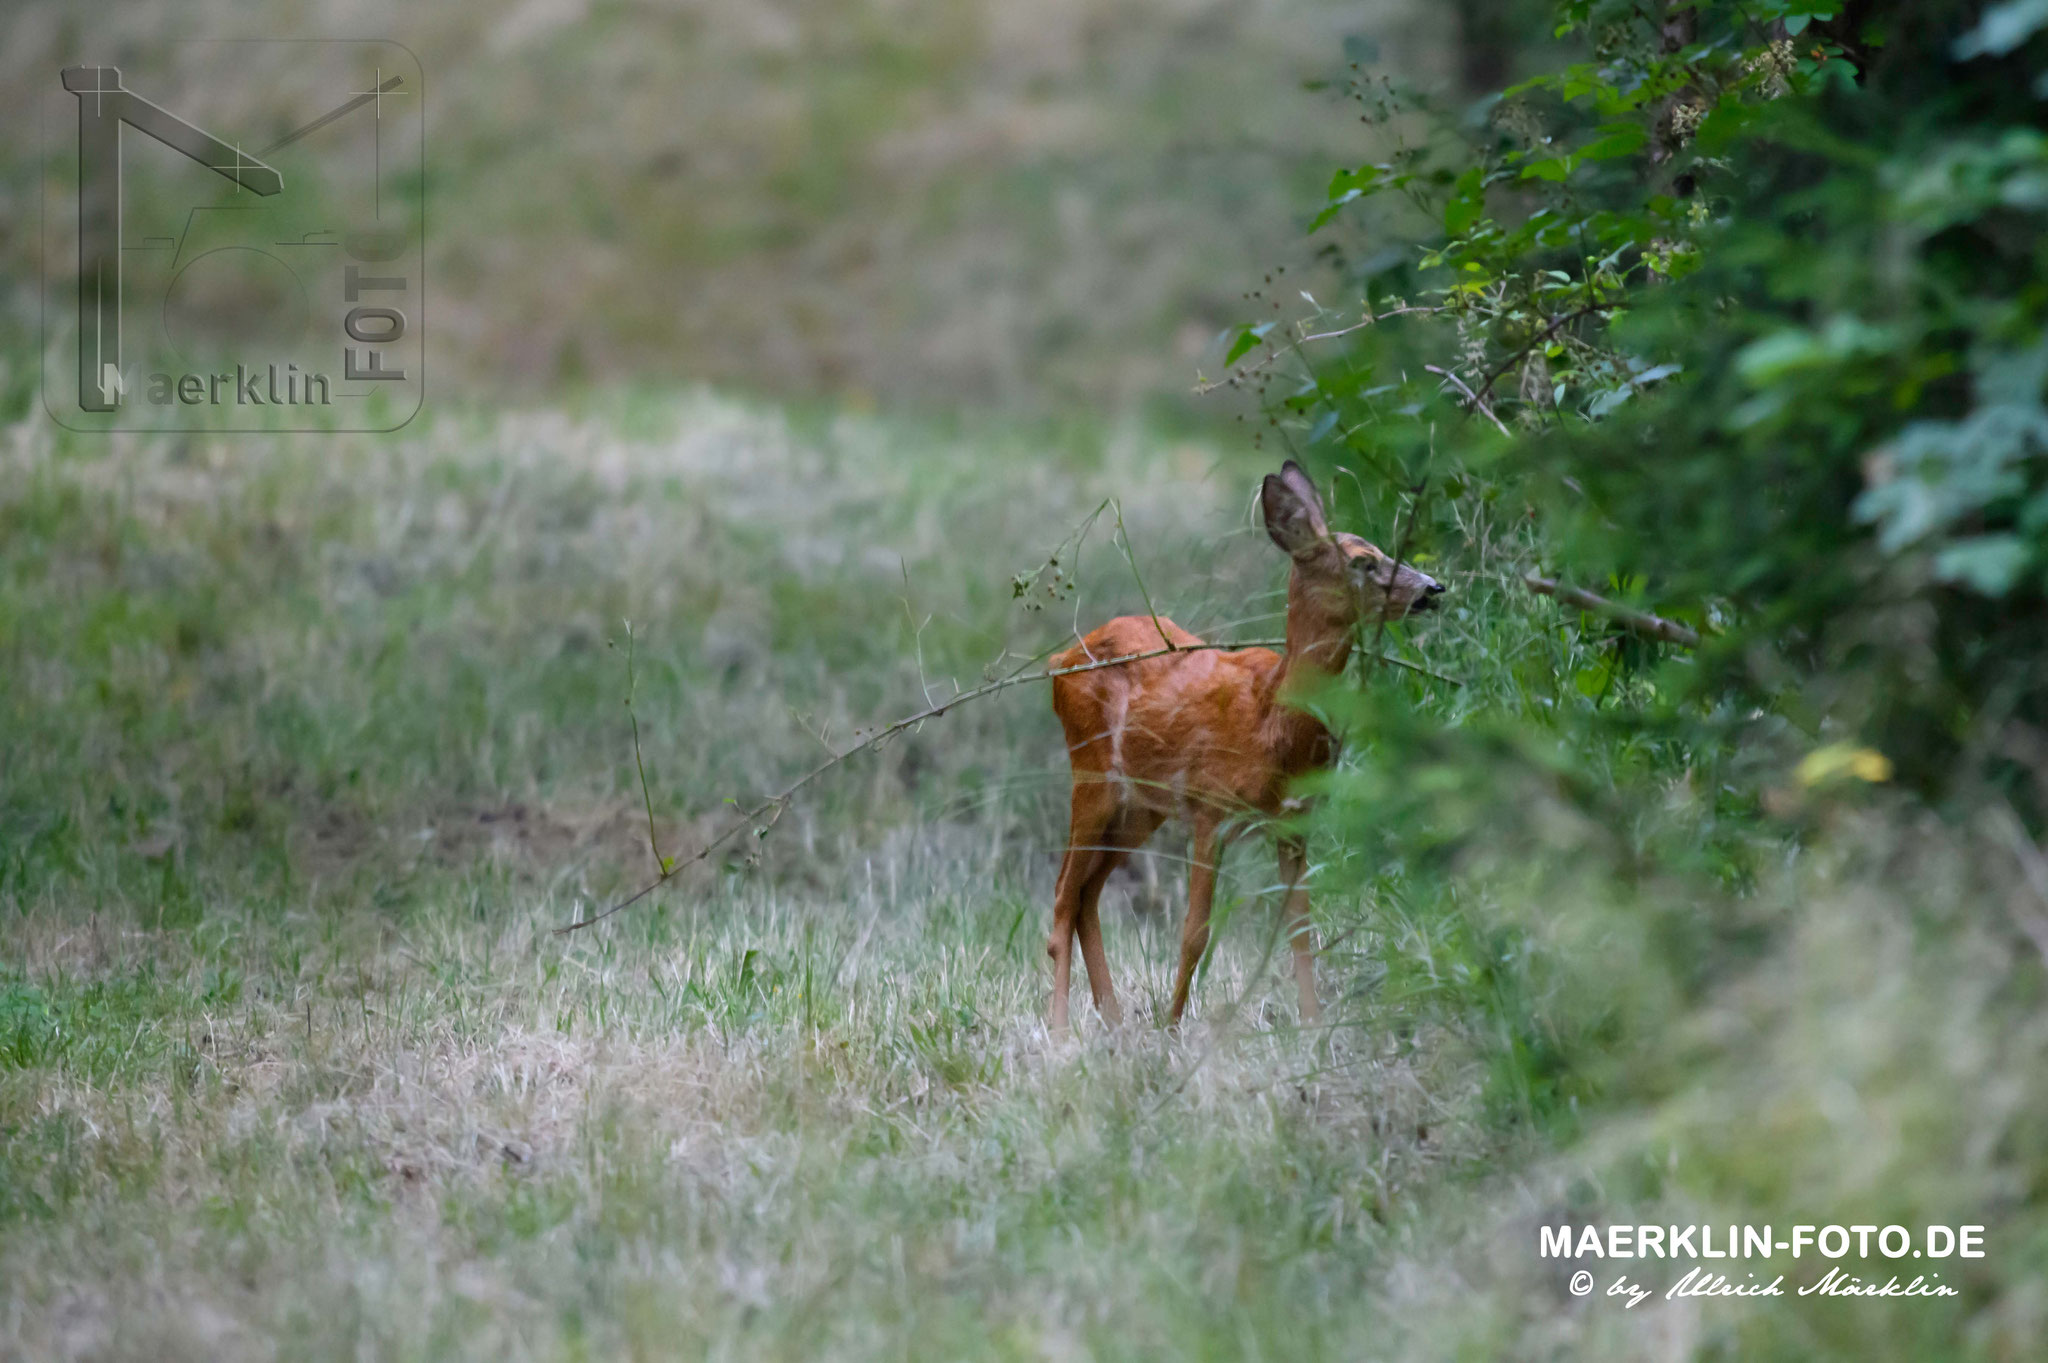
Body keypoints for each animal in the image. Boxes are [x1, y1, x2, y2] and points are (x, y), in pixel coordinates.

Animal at [1056, 462, 1441, 1035]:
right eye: (1363, 561)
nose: (1433, 589)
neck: (1272, 721)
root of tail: (1057, 662)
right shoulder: (1210, 809)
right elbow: (1195, 931)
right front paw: (1171, 1027)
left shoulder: (1295, 819)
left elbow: (1301, 928)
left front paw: (1312, 1024)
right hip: (1091, 773)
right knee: (1063, 894)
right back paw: (1060, 1029)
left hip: (1140, 807)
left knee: (1087, 893)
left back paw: (1115, 1018)